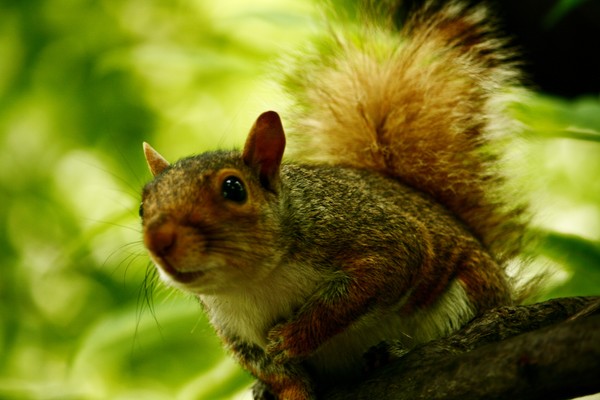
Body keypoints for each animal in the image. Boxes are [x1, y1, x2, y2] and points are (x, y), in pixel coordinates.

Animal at [139, 1, 528, 398]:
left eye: (234, 188)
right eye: (142, 205)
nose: (158, 240)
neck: (256, 280)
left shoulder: (370, 235)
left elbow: (359, 289)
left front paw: (292, 337)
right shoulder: (237, 333)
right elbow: (279, 374)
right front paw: (285, 386)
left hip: (469, 288)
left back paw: (389, 352)